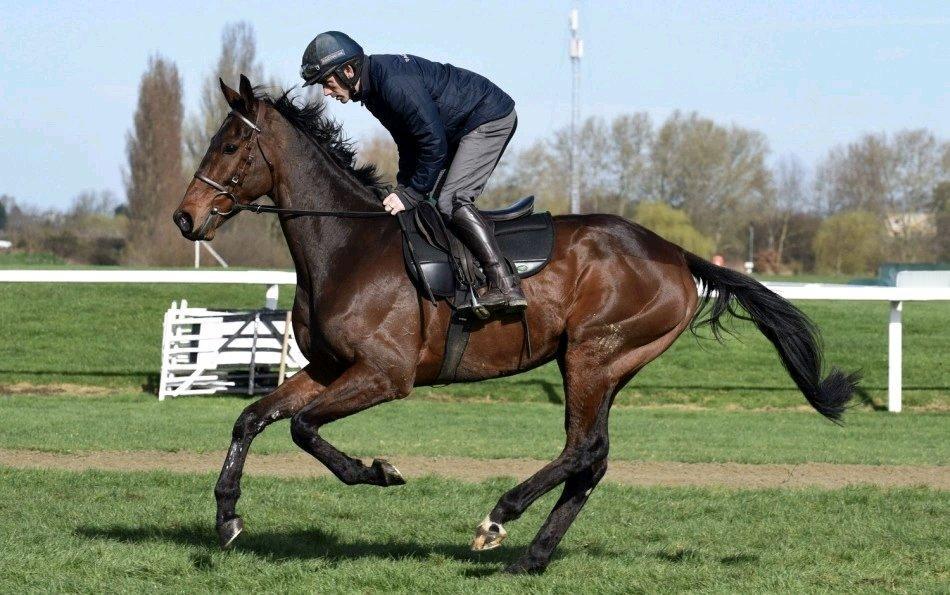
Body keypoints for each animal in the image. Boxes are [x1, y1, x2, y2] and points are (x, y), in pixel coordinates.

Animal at [172, 75, 857, 575]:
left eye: (229, 146)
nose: (185, 217)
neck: (348, 245)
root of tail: (676, 253)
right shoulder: (329, 368)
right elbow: (253, 418)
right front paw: (227, 517)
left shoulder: (385, 375)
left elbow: (304, 429)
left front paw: (378, 471)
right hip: (607, 365)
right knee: (593, 458)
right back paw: (532, 556)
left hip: (592, 354)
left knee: (581, 449)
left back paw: (499, 518)